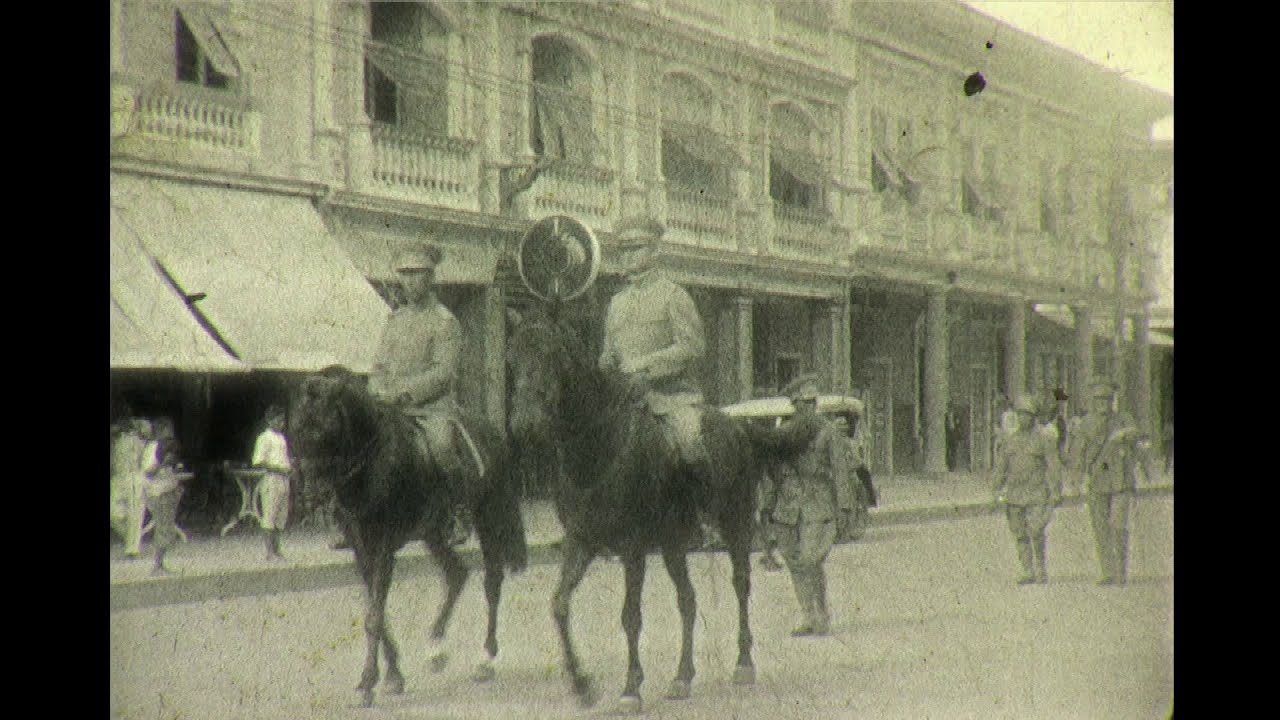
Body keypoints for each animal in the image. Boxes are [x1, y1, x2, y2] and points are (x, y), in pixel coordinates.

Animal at [288, 366, 527, 702]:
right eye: (295, 430)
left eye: (325, 429)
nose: (311, 495)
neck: (372, 465)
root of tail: (491, 432)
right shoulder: (362, 549)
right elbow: (378, 613)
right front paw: (392, 677)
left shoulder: (384, 546)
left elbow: (374, 617)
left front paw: (369, 682)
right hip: (433, 533)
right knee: (456, 573)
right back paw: (436, 650)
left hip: (489, 518)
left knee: (492, 583)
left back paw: (485, 659)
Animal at [506, 304, 768, 707]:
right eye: (512, 358)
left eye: (551, 355)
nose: (524, 424)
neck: (600, 448)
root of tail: (738, 427)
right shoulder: (581, 540)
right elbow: (560, 603)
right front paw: (582, 683)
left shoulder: (632, 547)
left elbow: (630, 615)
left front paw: (630, 686)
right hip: (674, 543)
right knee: (688, 599)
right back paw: (682, 677)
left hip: (736, 525)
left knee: (740, 583)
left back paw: (743, 663)